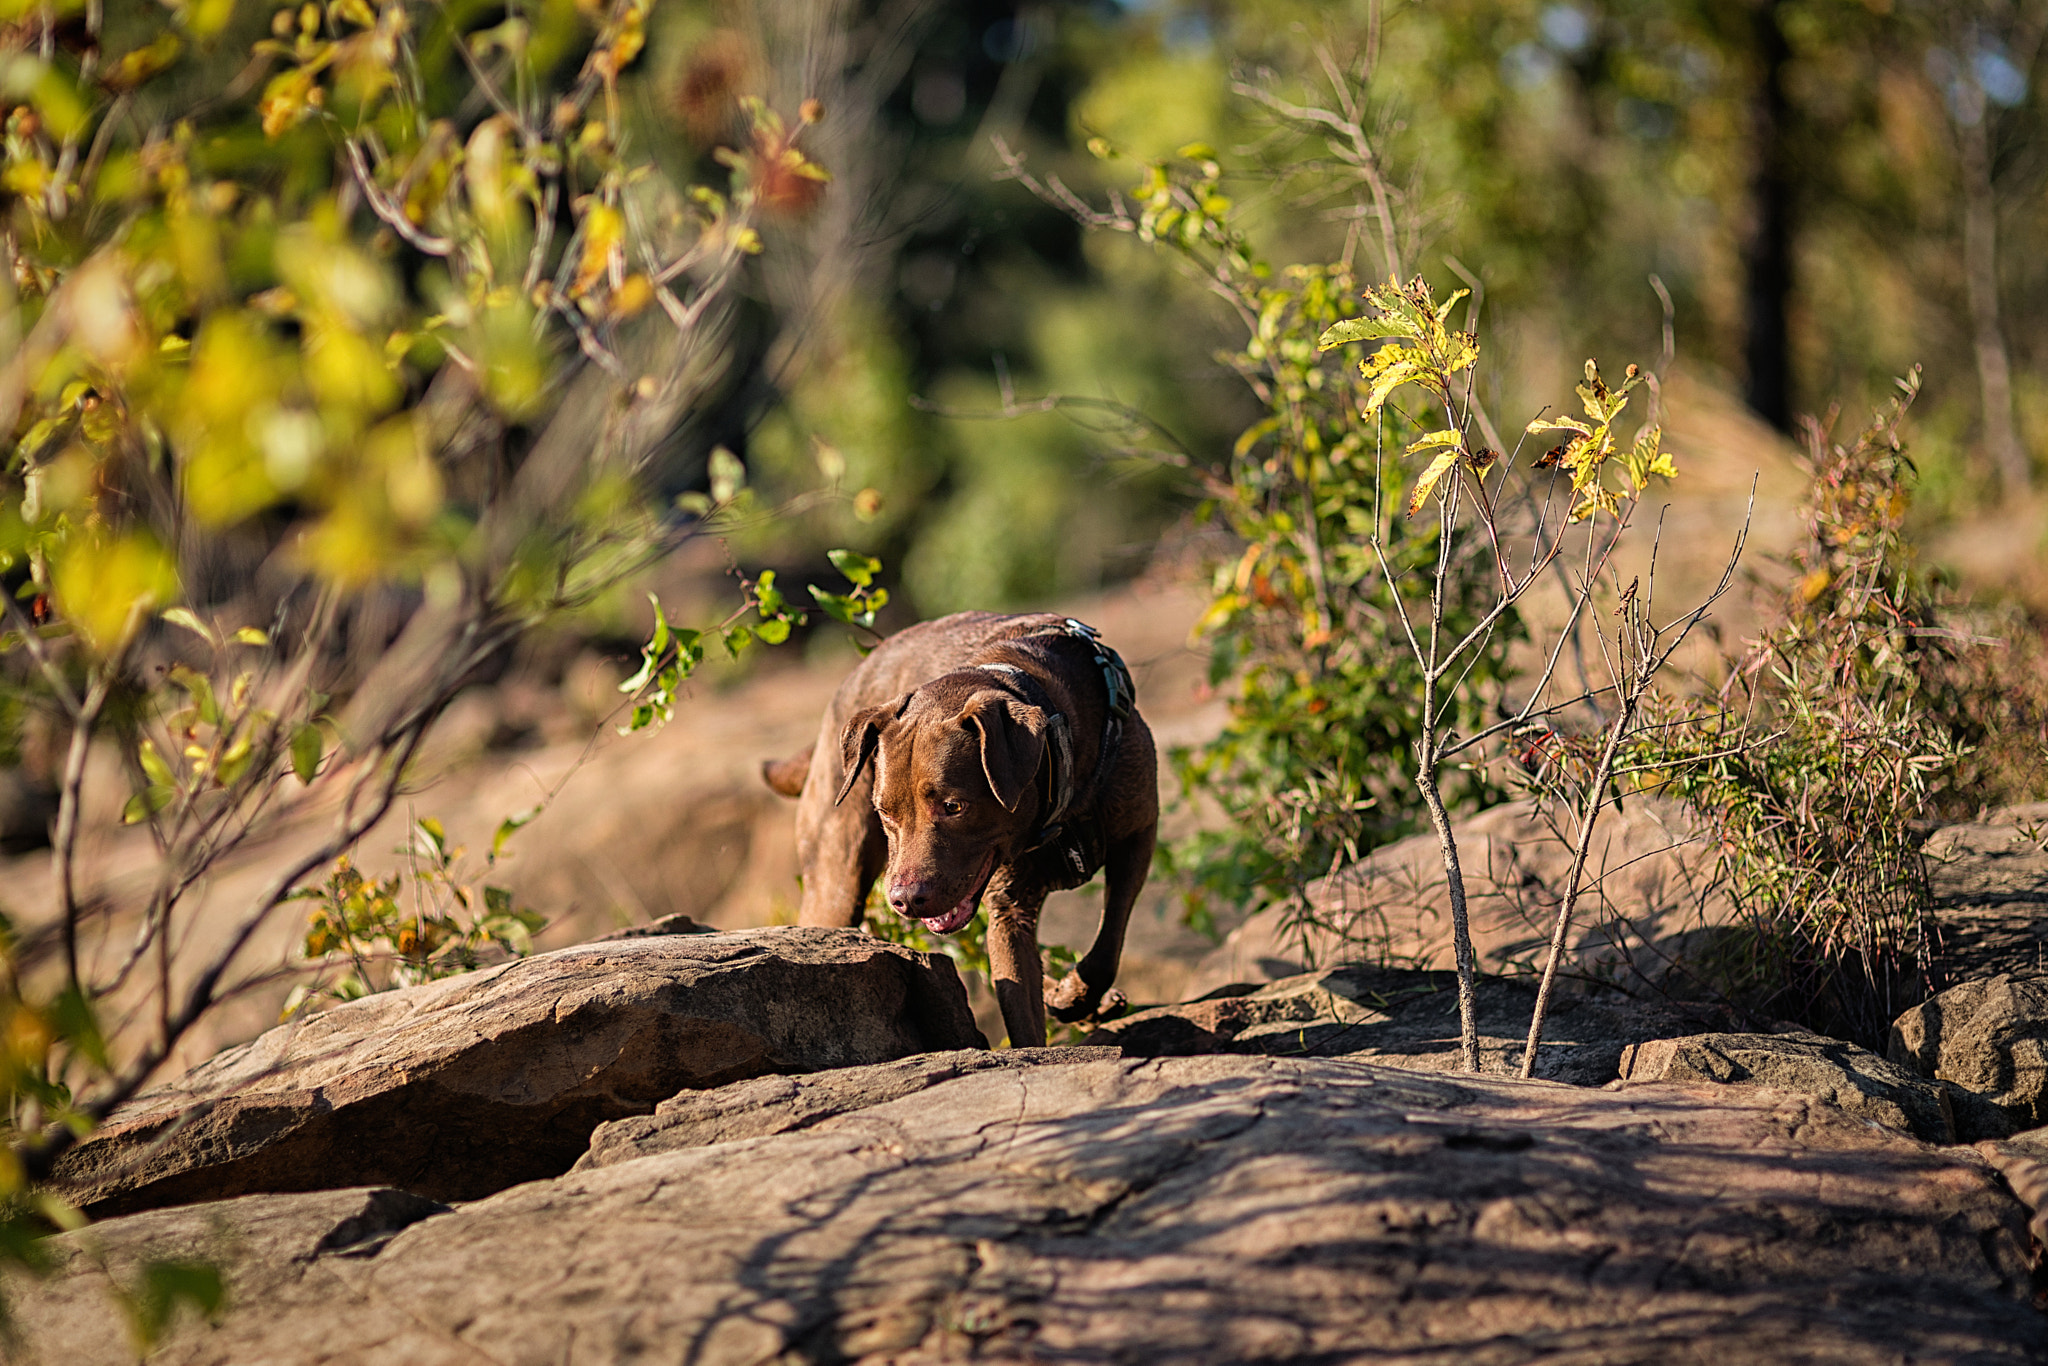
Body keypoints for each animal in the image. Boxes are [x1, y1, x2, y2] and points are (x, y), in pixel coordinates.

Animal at [765, 610, 1155, 1048]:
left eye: (954, 806)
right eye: (885, 813)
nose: (906, 900)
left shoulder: (1139, 835)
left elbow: (1108, 941)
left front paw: (1074, 995)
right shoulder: (1009, 908)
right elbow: (1021, 1006)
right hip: (836, 881)